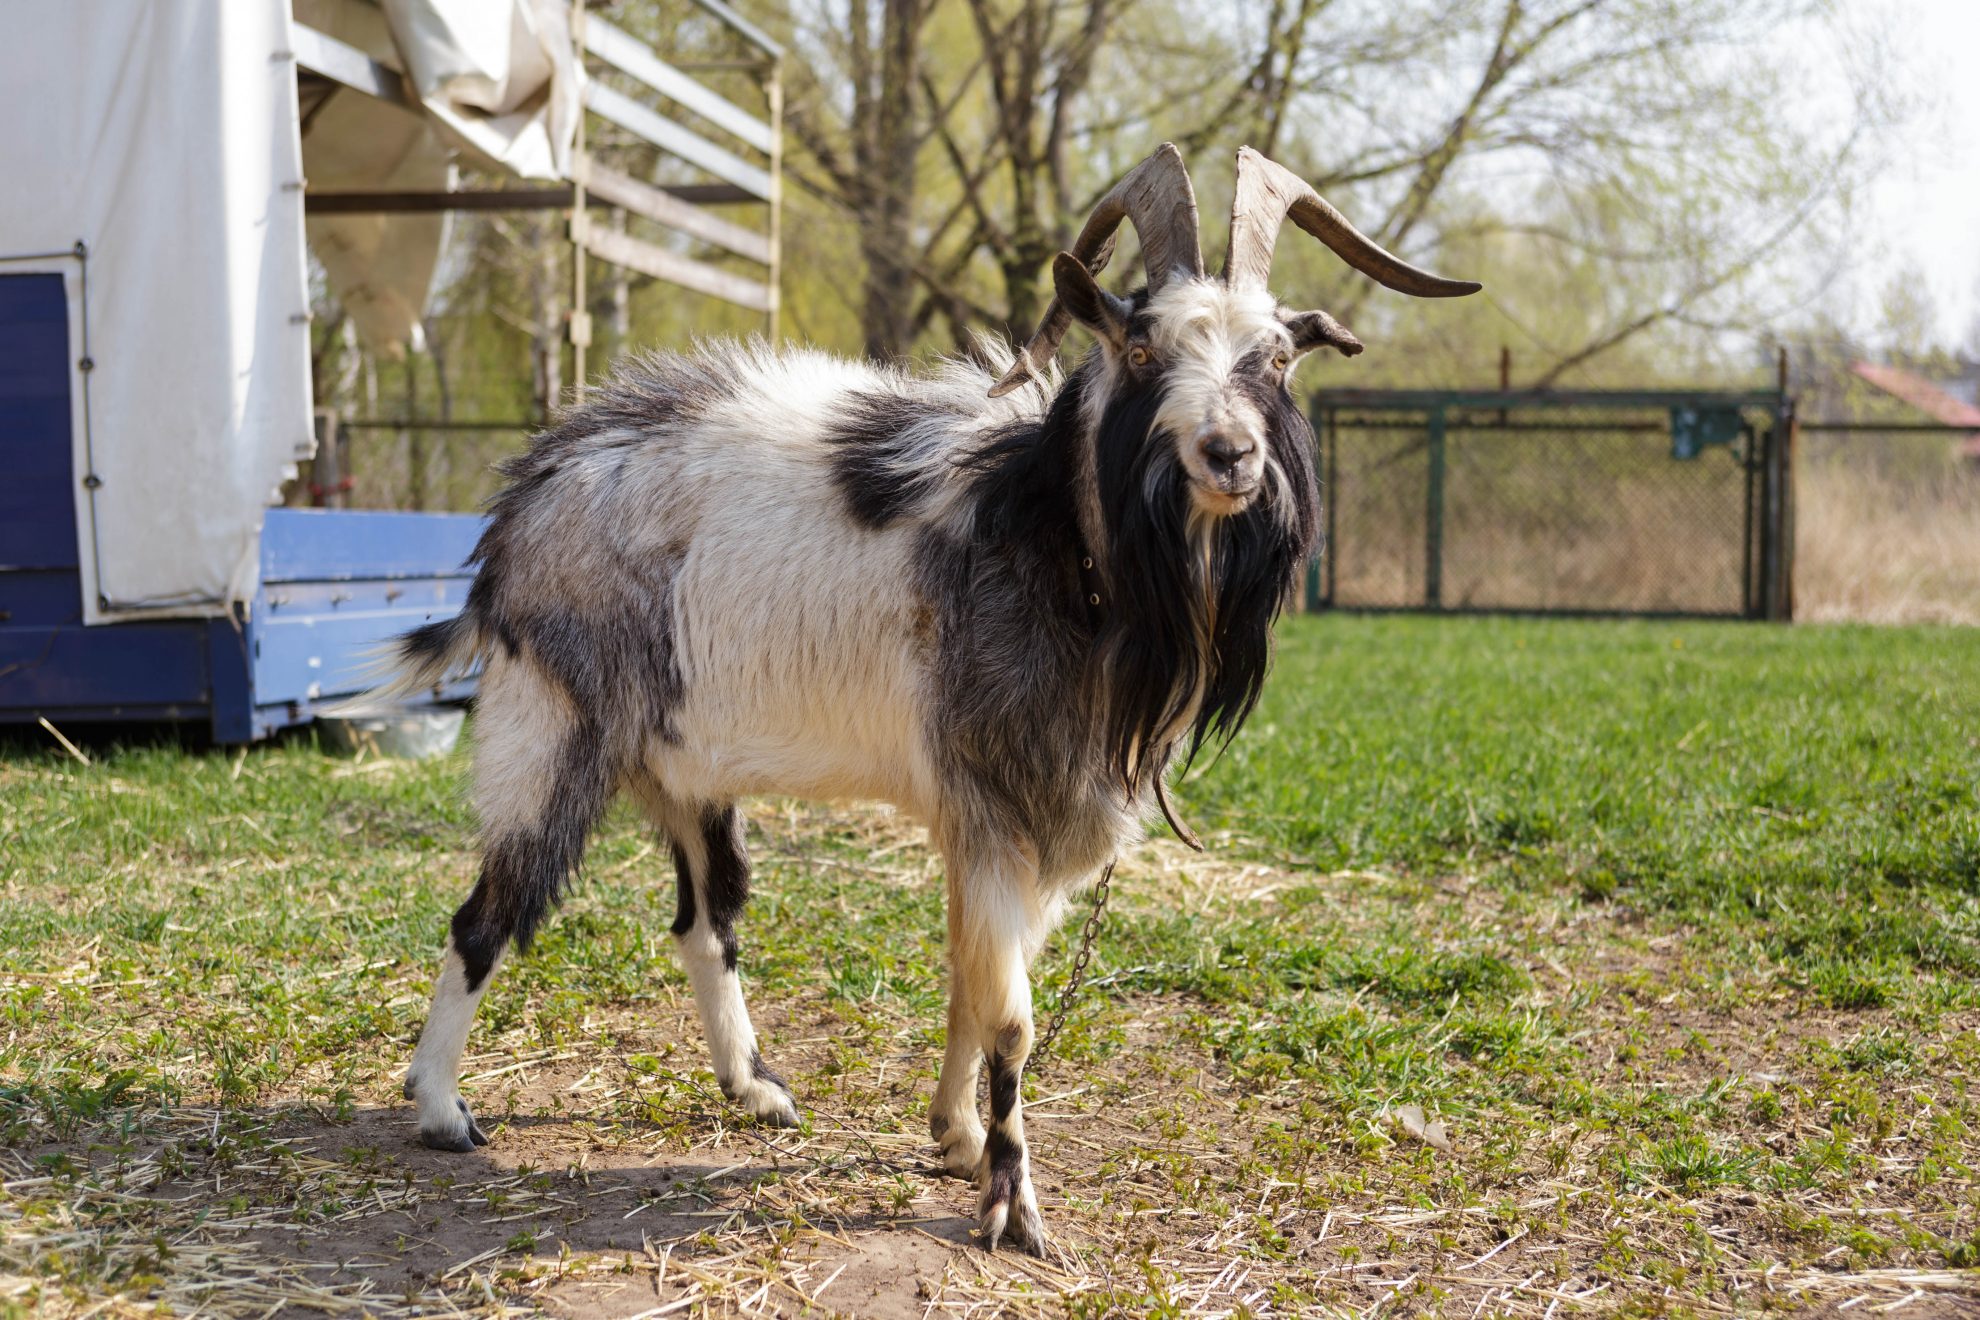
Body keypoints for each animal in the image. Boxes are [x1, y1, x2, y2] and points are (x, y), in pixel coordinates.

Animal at [382, 147, 1473, 1258]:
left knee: (705, 918)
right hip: (553, 731)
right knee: (487, 915)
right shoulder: (993, 802)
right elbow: (1012, 1015)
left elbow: (971, 982)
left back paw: (756, 1091)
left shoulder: (1017, 817)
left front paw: (957, 1138)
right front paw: (1013, 1206)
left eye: (1277, 358)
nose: (1230, 455)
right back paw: (441, 1109)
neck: (1056, 545)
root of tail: (519, 510)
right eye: (1140, 346)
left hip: (685, 768)